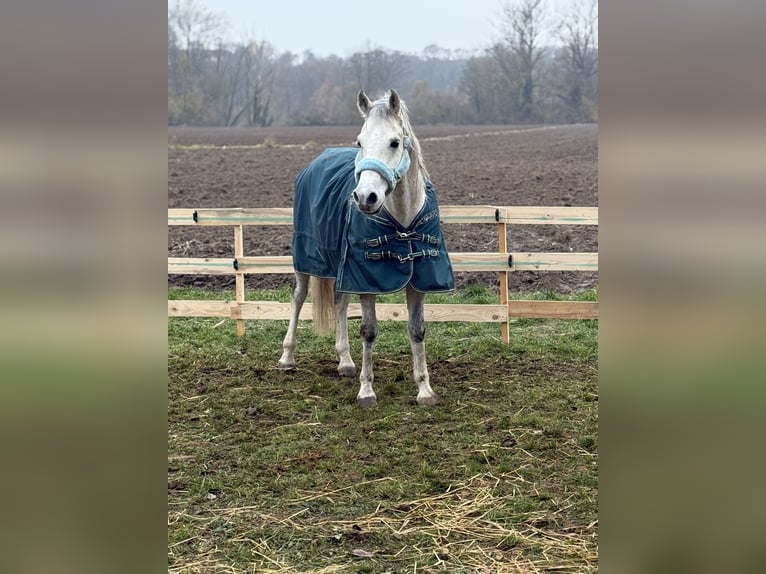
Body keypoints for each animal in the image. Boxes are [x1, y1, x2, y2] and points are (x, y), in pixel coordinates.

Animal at [278, 89, 454, 407]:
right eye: (360, 141)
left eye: (394, 142)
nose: (364, 197)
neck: (402, 222)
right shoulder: (366, 281)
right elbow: (369, 331)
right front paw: (367, 390)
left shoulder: (417, 281)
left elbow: (417, 331)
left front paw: (424, 390)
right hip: (305, 263)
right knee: (297, 298)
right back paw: (287, 356)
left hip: (341, 267)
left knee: (340, 303)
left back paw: (346, 361)